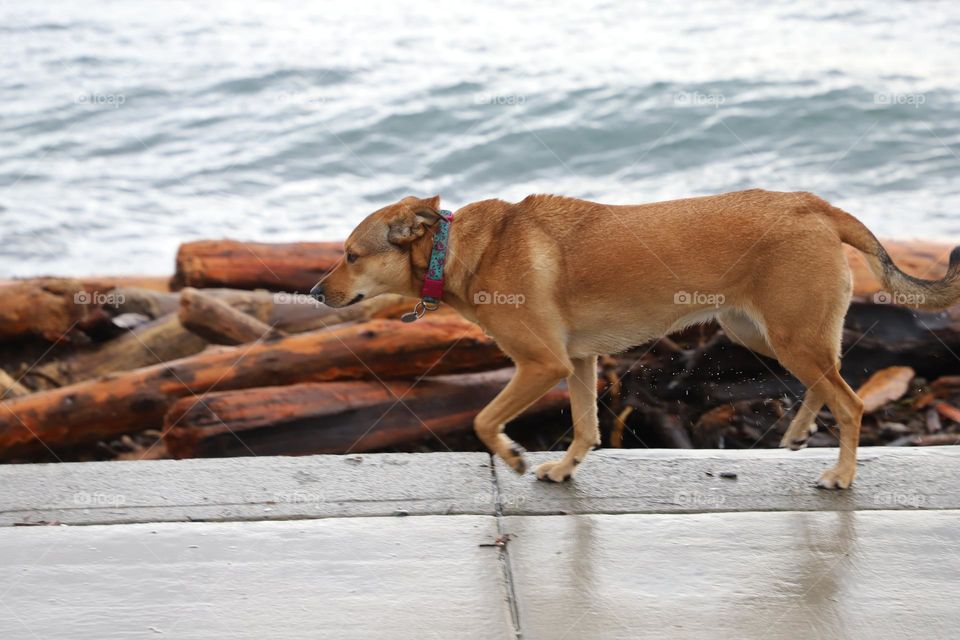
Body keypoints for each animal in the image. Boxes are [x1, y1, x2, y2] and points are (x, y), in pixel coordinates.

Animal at [316, 190, 960, 490]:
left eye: (351, 255)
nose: (318, 293)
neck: (456, 252)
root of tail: (816, 205)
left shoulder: (541, 364)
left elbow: (482, 420)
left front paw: (515, 458)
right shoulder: (577, 362)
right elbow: (585, 427)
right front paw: (564, 468)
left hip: (792, 336)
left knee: (849, 401)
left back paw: (842, 476)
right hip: (767, 334)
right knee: (828, 383)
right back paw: (801, 433)